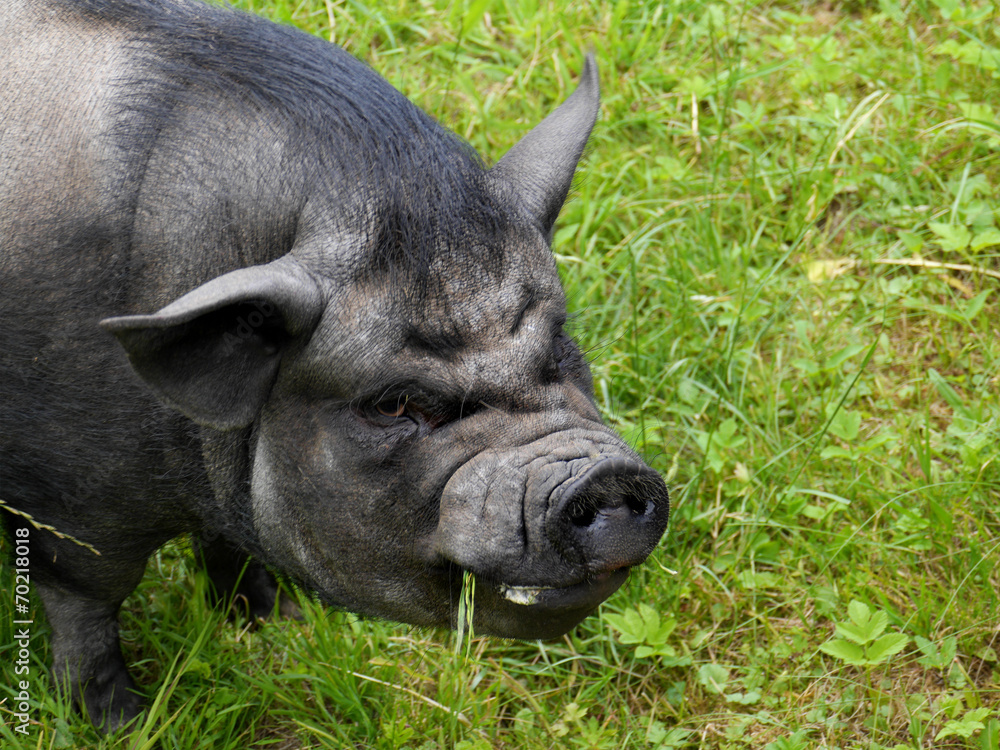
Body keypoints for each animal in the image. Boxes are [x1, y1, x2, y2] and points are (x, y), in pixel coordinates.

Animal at [0, 0, 670, 732]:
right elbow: (90, 606)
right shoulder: (68, 506)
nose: (604, 476)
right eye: (394, 402)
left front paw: (279, 622)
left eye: (560, 343)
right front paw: (127, 724)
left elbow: (225, 546)